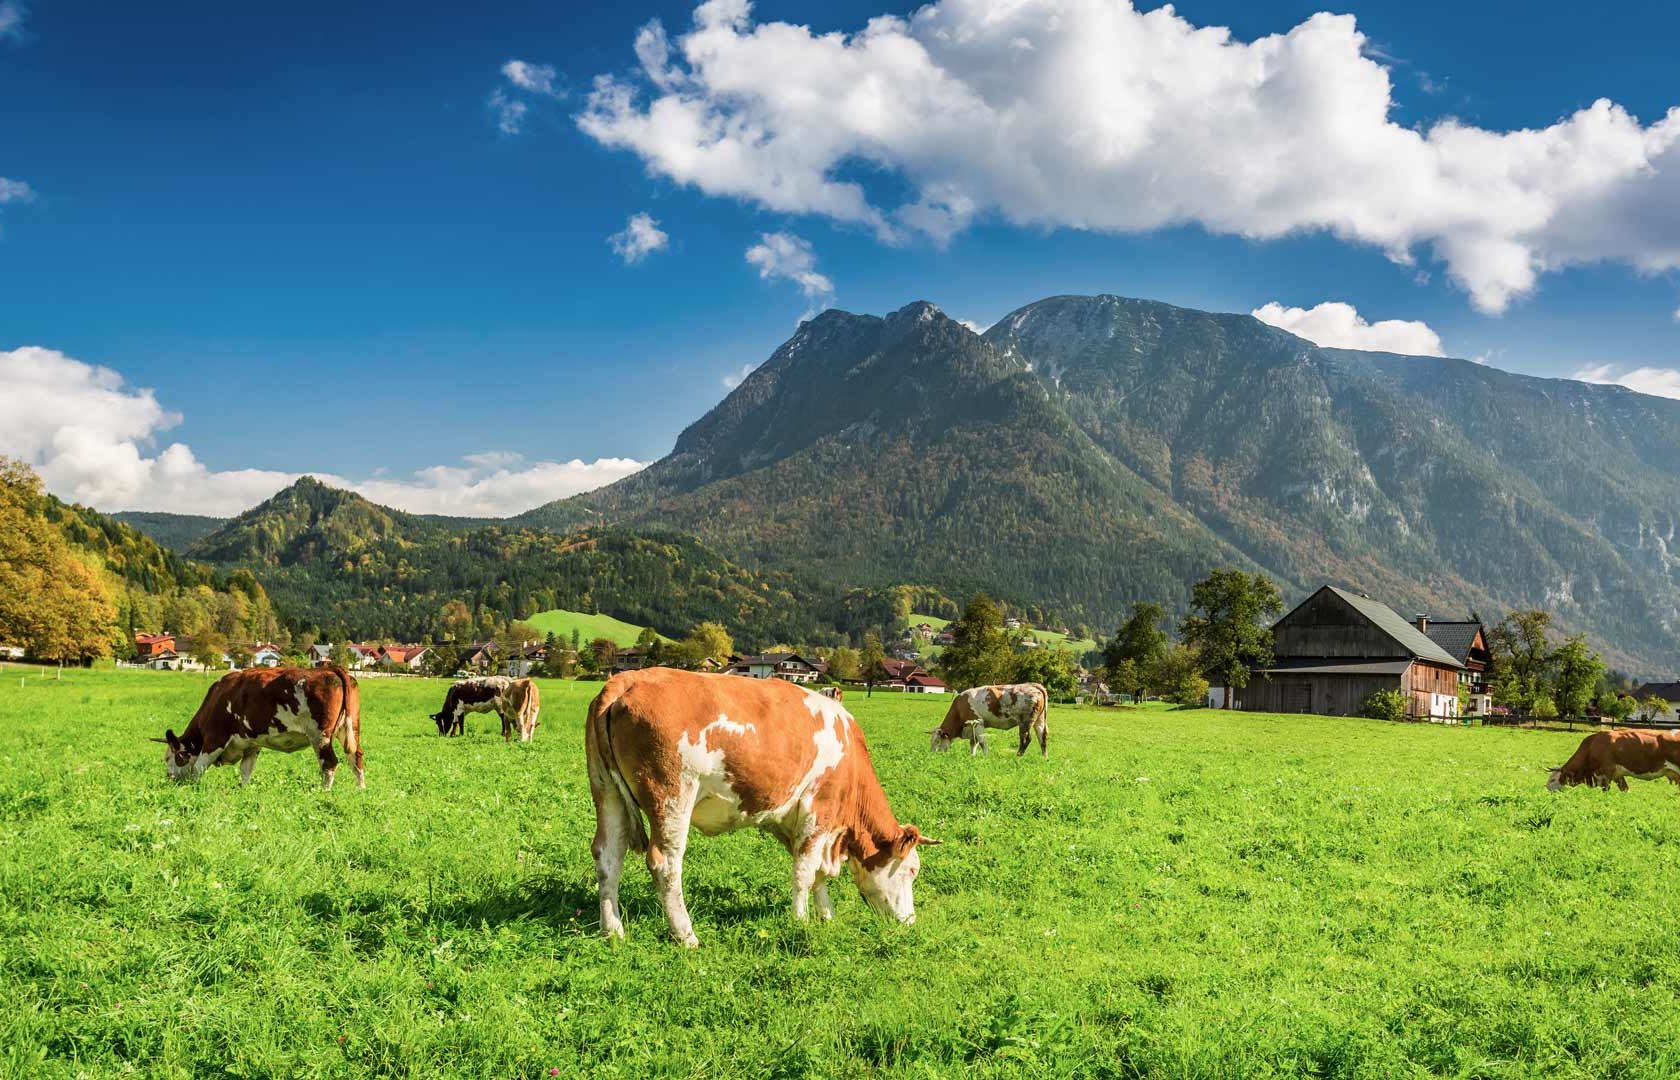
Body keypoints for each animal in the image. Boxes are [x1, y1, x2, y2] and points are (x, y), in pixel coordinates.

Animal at [155, 661, 364, 789]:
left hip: (320, 735)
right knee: (356, 757)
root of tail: (330, 669)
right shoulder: (251, 745)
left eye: (169, 758)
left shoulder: (215, 739)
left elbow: (198, 767)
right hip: (350, 728)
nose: (169, 777)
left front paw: (194, 788)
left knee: (329, 762)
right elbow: (246, 771)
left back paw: (324, 792)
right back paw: (360, 790)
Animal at [584, 661, 940, 954]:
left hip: (607, 793)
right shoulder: (818, 811)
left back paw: (613, 930)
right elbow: (805, 873)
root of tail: (627, 679)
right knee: (665, 863)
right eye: (912, 870)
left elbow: (818, 874)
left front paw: (826, 915)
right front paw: (801, 921)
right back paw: (685, 935)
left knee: (608, 855)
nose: (909, 922)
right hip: (672, 796)